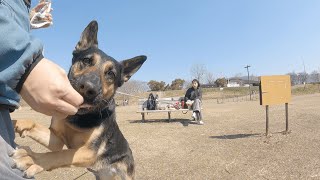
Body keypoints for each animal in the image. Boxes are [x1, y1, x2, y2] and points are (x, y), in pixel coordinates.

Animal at [11, 20, 146, 179]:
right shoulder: (57, 140)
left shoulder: (88, 152)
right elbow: (39, 130)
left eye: (111, 74)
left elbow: (58, 155)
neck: (80, 117)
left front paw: (29, 159)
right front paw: (16, 123)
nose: (88, 88)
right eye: (86, 60)